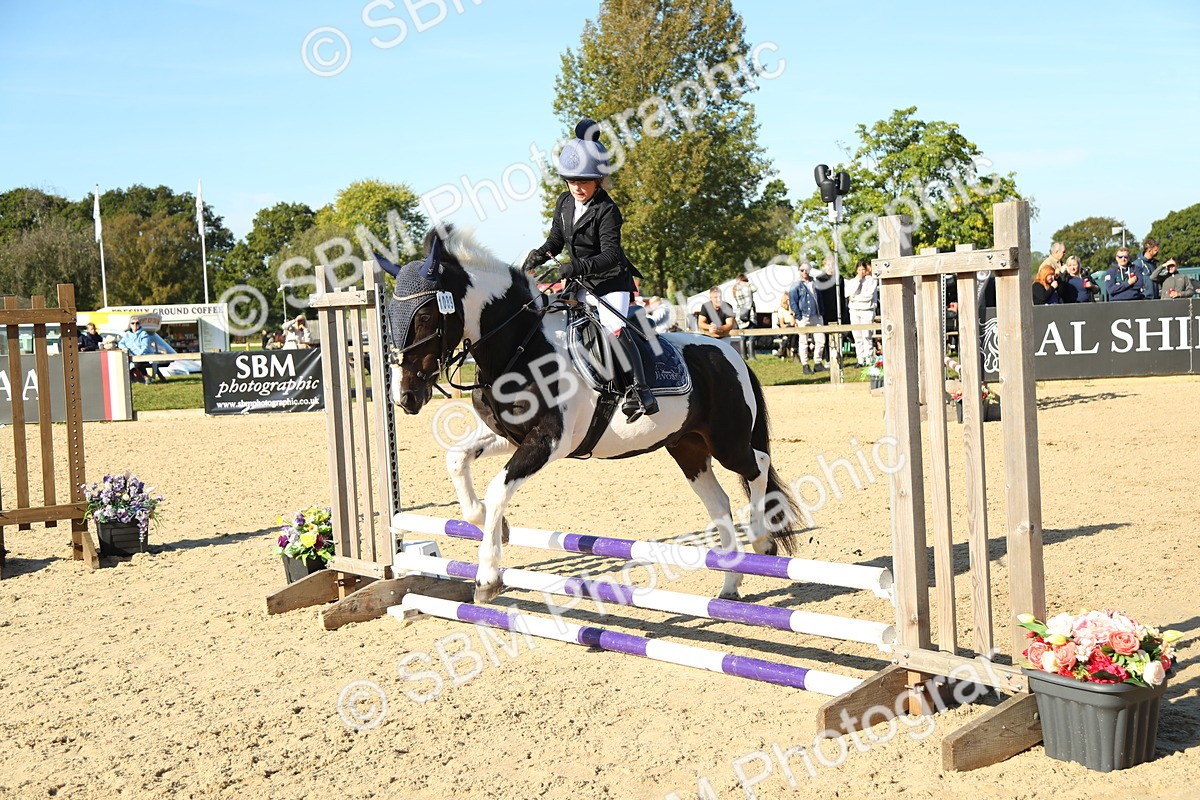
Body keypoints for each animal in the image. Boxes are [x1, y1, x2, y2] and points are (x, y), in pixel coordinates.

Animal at [379, 227, 801, 604]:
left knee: (758, 465)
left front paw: (487, 577)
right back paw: (729, 586)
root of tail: (729, 353)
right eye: (389, 315)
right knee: (718, 502)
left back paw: (761, 540)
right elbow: (458, 460)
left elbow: (497, 488)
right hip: (687, 447)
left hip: (727, 441)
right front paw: (495, 526)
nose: (404, 397)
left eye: (424, 316)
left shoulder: (549, 440)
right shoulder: (510, 436)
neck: (519, 346)